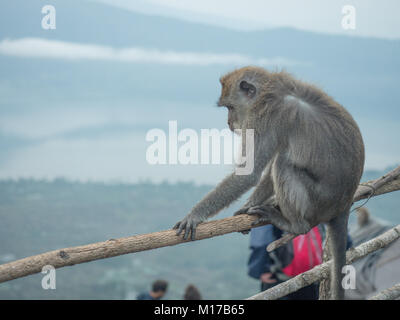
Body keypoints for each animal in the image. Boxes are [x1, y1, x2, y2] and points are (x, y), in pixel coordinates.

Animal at [173, 66, 364, 298]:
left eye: (230, 107)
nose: (229, 123)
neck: (272, 92)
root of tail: (343, 205)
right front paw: (247, 207)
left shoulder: (266, 118)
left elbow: (250, 173)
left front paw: (194, 215)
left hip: (318, 201)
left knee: (283, 163)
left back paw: (295, 224)